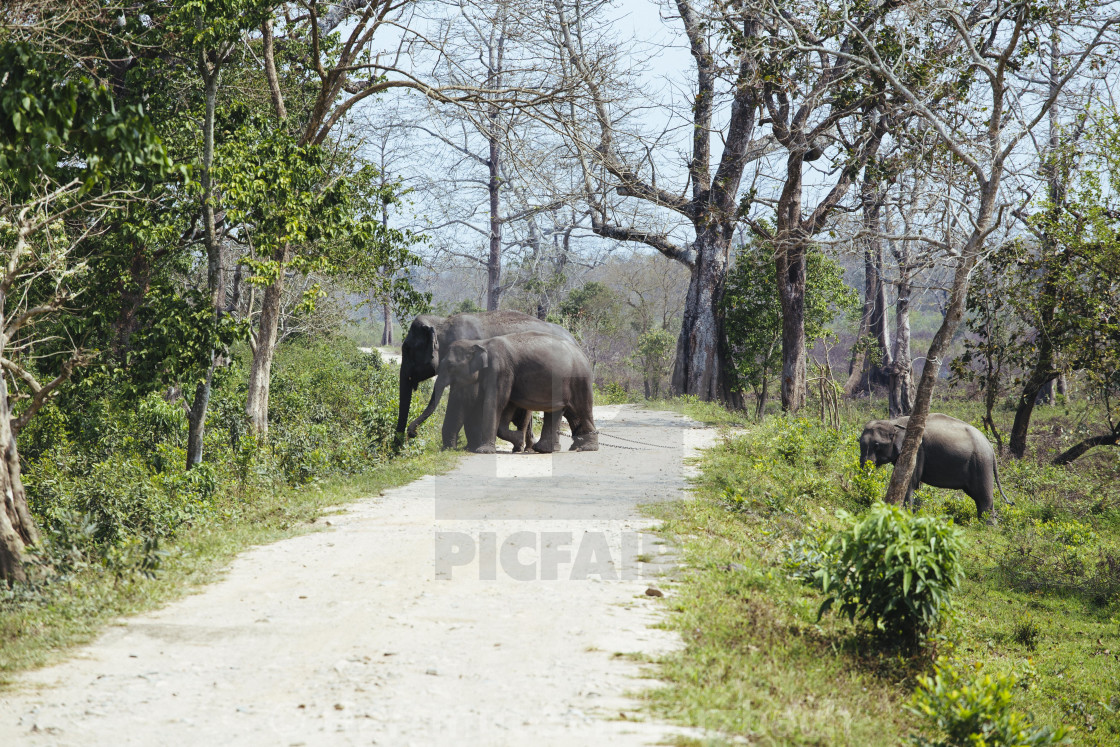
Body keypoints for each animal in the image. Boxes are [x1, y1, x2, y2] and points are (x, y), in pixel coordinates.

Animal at [394, 309, 573, 450]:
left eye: (407, 349)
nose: (411, 433)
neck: (442, 322)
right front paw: (470, 446)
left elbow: (463, 397)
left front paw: (454, 448)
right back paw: (529, 447)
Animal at [407, 333, 600, 456]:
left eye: (451, 366)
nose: (412, 434)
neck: (481, 343)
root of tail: (583, 354)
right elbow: (507, 405)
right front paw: (518, 440)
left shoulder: (500, 369)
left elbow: (495, 402)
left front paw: (485, 451)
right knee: (561, 411)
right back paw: (551, 448)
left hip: (580, 379)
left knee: (583, 409)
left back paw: (587, 448)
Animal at [855, 412, 1016, 517]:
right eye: (859, 442)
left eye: (876, 445)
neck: (896, 421)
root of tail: (991, 448)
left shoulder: (918, 450)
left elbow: (911, 481)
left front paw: (906, 514)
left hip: (981, 463)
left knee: (983, 496)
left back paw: (987, 527)